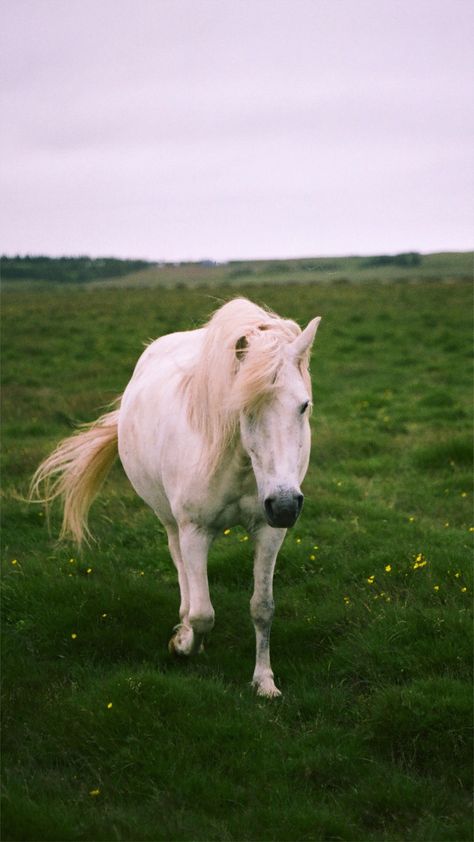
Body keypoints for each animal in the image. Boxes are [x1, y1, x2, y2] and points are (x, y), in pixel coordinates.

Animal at [31, 298, 320, 692]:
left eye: (303, 405)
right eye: (244, 408)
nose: (286, 505)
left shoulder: (269, 530)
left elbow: (262, 607)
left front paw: (264, 682)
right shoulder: (194, 530)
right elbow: (202, 614)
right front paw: (182, 645)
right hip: (171, 521)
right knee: (181, 569)